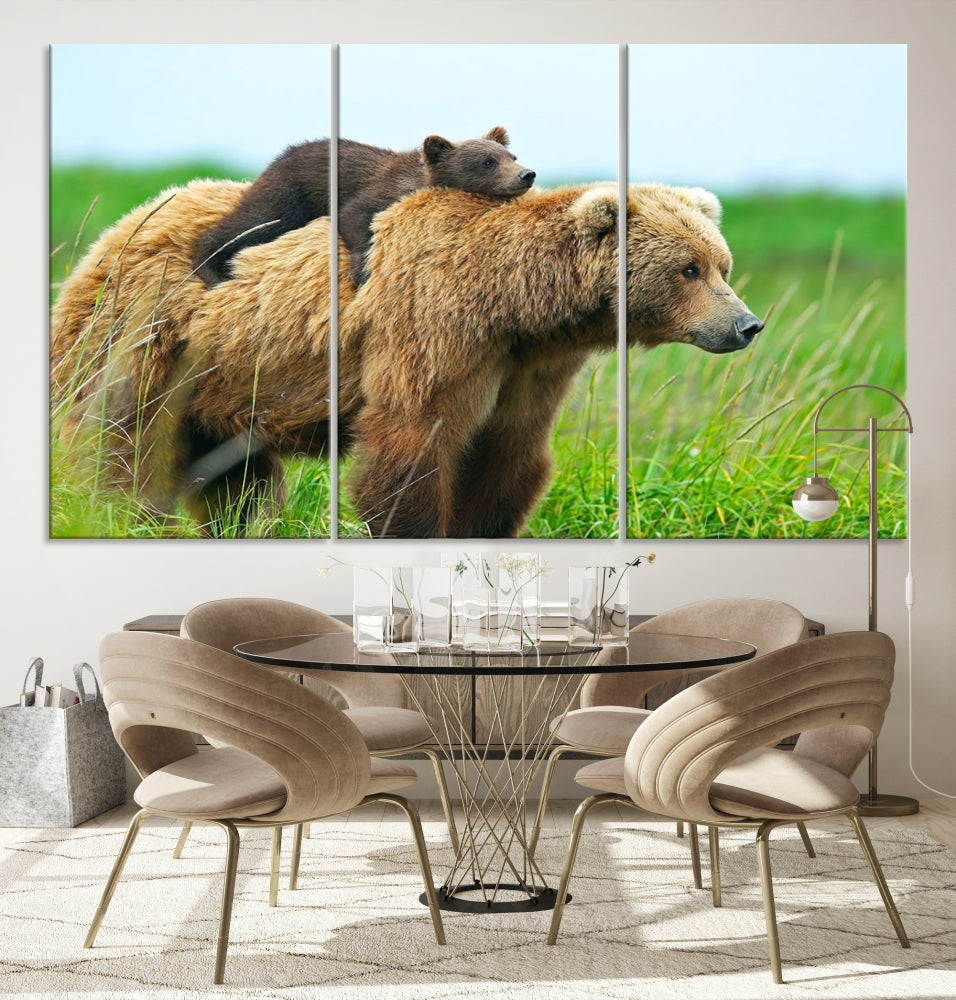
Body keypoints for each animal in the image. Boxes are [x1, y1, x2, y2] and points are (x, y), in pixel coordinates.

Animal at [51, 178, 763, 538]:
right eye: (689, 268)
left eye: (722, 264)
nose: (747, 324)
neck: (515, 307)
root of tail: (117, 227)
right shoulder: (433, 333)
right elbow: (413, 446)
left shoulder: (525, 370)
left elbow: (506, 458)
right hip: (146, 337)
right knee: (121, 441)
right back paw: (117, 516)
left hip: (224, 383)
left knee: (236, 475)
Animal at [191, 126, 536, 288]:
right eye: (487, 162)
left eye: (511, 155)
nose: (527, 174)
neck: (417, 180)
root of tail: (281, 155)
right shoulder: (377, 191)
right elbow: (355, 216)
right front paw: (362, 270)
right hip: (289, 194)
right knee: (252, 222)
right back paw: (210, 269)